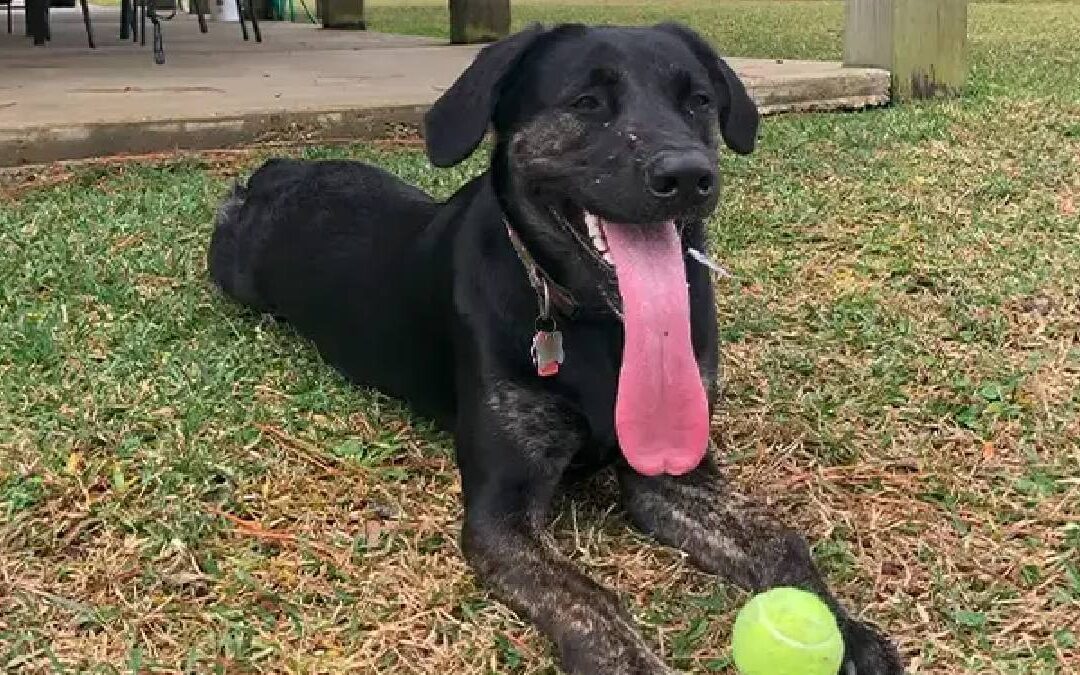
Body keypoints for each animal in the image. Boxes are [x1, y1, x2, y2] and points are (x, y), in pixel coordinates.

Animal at [208, 22, 902, 673]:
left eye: (699, 101)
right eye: (587, 101)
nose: (688, 175)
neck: (602, 327)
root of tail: (280, 170)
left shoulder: (673, 472)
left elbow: (782, 539)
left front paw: (850, 633)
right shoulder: (501, 514)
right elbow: (588, 597)